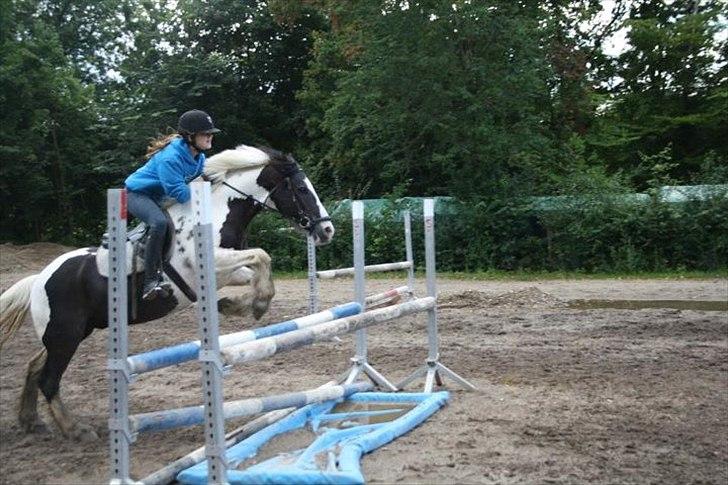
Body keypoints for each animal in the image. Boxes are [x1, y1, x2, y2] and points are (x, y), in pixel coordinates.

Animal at [0, 143, 336, 438]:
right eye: (302, 189)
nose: (327, 230)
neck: (215, 210)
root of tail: (38, 279)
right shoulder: (211, 264)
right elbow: (262, 255)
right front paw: (255, 306)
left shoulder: (225, 271)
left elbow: (257, 270)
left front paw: (236, 305)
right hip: (66, 335)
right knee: (49, 380)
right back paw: (75, 430)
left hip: (70, 332)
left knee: (34, 367)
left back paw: (31, 421)